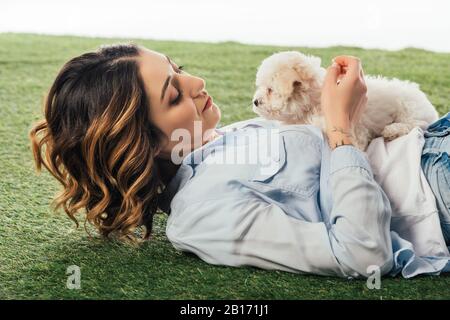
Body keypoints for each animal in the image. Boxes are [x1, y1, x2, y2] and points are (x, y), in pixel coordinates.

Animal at [253, 51, 440, 150]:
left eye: (270, 90)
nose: (255, 101)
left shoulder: (358, 133)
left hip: (410, 109)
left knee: (415, 125)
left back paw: (391, 130)